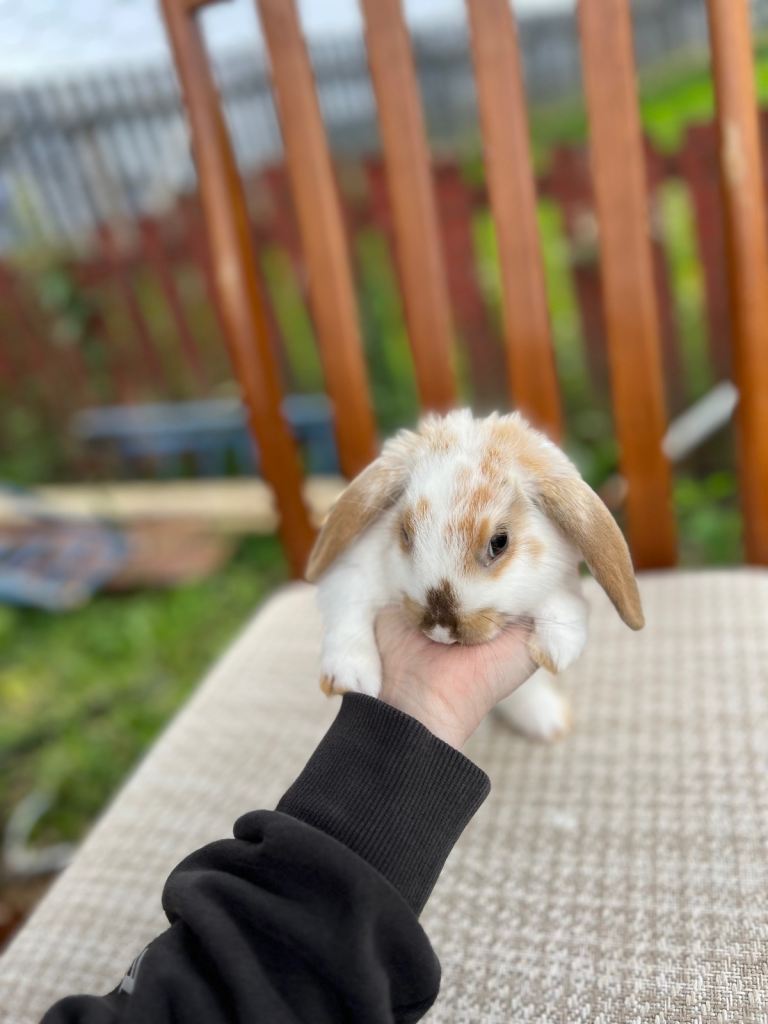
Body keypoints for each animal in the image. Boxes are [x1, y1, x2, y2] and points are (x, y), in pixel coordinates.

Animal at [305, 409, 644, 741]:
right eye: (405, 533)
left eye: (499, 542)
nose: (441, 628)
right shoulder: (351, 571)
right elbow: (348, 609)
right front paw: (350, 677)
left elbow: (563, 600)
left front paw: (556, 648)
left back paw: (548, 720)